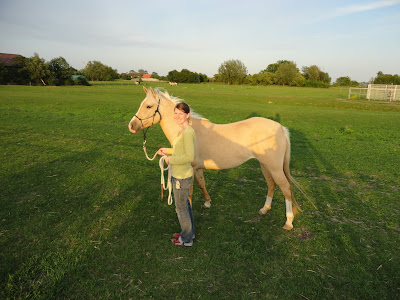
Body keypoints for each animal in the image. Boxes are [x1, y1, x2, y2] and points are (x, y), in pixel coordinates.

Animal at [130, 86, 302, 230]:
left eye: (148, 106)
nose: (131, 126)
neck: (188, 129)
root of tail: (280, 127)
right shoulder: (197, 168)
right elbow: (202, 184)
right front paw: (207, 202)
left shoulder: (190, 168)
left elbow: (190, 192)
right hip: (264, 165)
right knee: (271, 184)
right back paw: (264, 209)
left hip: (274, 167)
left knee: (285, 187)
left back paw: (288, 222)